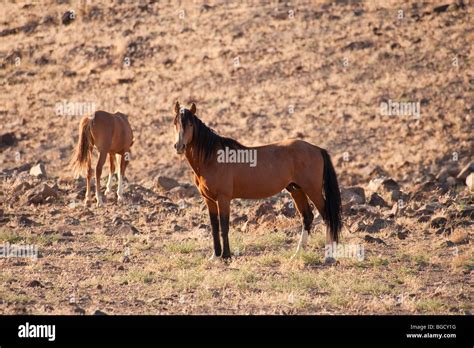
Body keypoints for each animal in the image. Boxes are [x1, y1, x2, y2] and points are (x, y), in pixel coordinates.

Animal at [173, 102, 340, 260]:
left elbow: (224, 226)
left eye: (190, 124)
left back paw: (329, 256)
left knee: (327, 216)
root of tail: (317, 149)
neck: (212, 157)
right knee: (307, 217)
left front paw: (226, 256)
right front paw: (215, 256)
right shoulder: (209, 200)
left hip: (313, 190)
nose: (179, 146)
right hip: (296, 189)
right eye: (175, 123)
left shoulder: (223, 198)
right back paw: (297, 253)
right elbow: (214, 227)